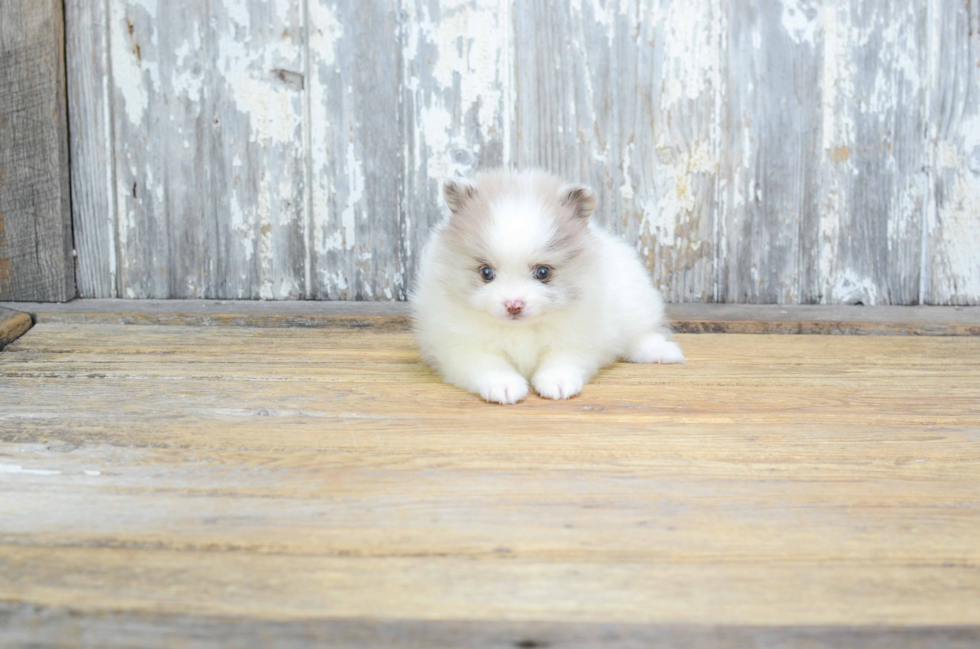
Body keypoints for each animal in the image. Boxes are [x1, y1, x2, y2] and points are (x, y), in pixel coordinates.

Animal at [410, 167, 684, 402]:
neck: (520, 329)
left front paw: (558, 384)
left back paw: (664, 353)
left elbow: (561, 361)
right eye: (486, 273)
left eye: (543, 272)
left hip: (634, 305)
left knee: (641, 337)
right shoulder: (463, 348)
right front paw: (505, 387)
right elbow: (490, 365)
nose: (514, 305)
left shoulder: (577, 339)